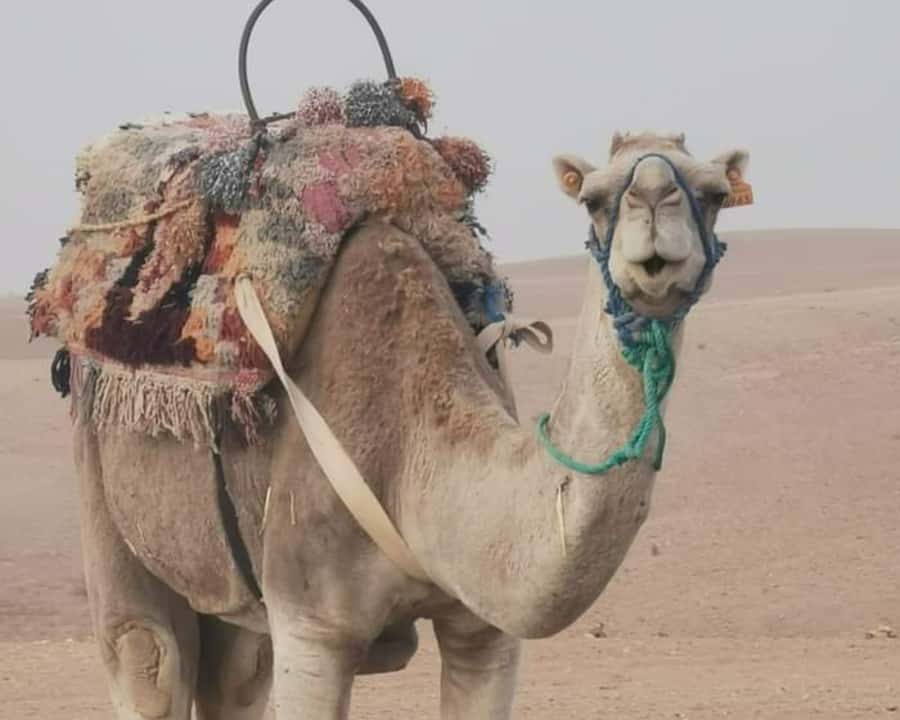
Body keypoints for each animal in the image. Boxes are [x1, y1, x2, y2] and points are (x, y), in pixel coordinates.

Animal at [73, 130, 749, 719]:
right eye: (594, 197)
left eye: (715, 193)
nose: (654, 202)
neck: (411, 457)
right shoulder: (312, 624)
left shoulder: (484, 630)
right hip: (102, 478)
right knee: (147, 655)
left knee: (235, 678)